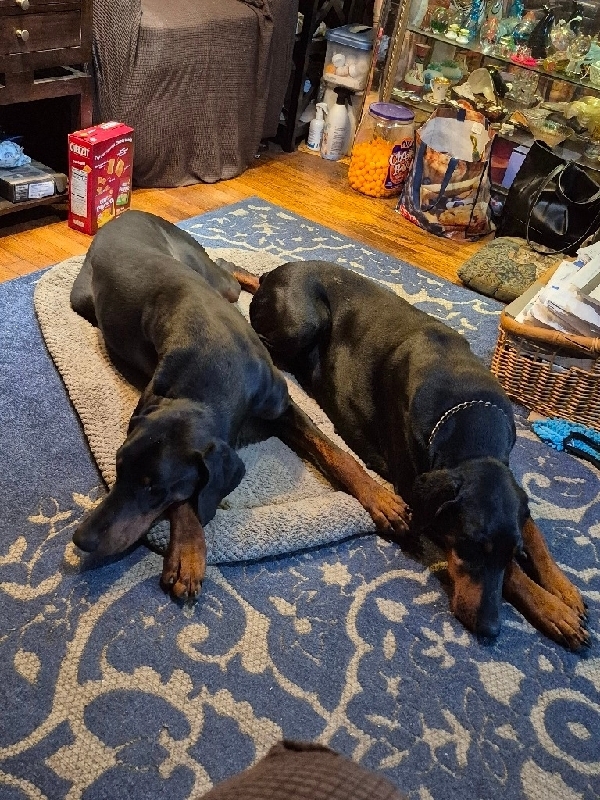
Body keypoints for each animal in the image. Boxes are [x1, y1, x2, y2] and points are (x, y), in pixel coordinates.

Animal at [70, 212, 410, 599]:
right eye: (118, 466)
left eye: (154, 488)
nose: (81, 539)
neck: (215, 369)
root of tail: (126, 214)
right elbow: (190, 499)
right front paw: (188, 553)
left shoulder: (282, 405)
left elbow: (338, 454)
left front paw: (380, 497)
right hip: (83, 299)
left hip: (214, 278)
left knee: (231, 271)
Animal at [249, 260, 589, 651]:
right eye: (470, 544)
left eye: (513, 552)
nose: (490, 630)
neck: (469, 415)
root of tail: (277, 270)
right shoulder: (421, 498)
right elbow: (513, 575)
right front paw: (555, 612)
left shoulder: (507, 483)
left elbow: (533, 533)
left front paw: (565, 590)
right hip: (304, 321)